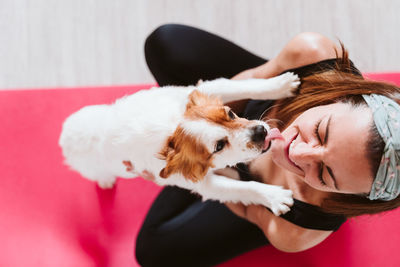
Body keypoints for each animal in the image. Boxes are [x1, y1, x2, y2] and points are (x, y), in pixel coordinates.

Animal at [57, 72, 298, 217]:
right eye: (219, 146)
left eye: (229, 113)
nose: (260, 132)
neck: (170, 129)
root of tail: (64, 135)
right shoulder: (202, 184)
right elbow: (245, 188)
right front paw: (274, 197)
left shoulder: (195, 91)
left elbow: (240, 86)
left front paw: (280, 84)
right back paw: (105, 181)